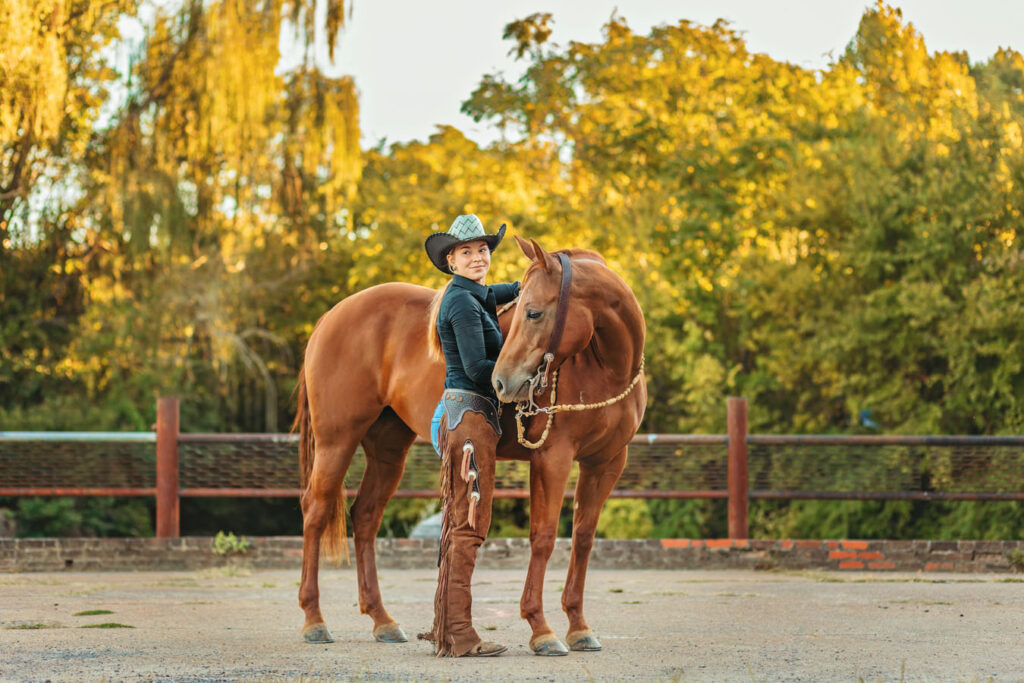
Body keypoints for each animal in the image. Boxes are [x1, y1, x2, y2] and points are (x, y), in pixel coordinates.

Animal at [295, 235, 647, 654]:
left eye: (534, 313)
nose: (502, 381)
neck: (606, 367)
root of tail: (330, 317)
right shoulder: (553, 458)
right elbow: (543, 538)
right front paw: (541, 629)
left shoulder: (606, 462)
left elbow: (583, 537)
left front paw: (578, 627)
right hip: (337, 440)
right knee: (315, 511)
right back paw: (314, 620)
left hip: (388, 449)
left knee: (365, 516)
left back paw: (382, 620)